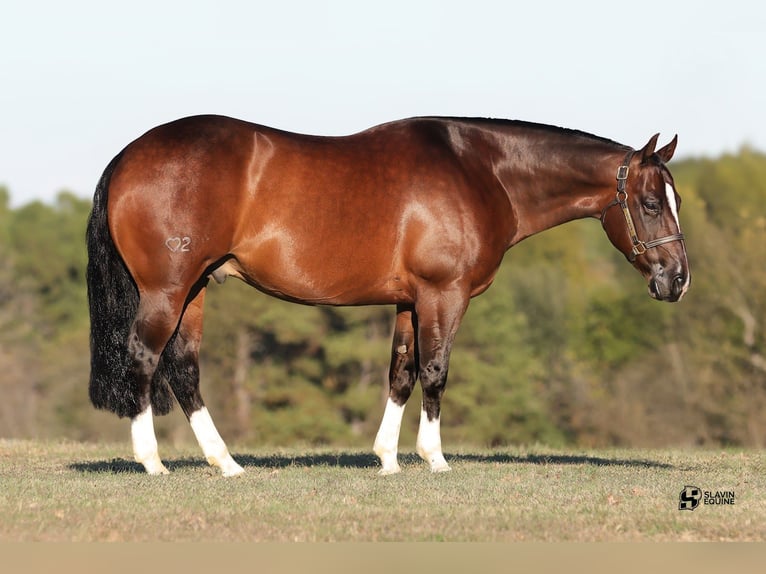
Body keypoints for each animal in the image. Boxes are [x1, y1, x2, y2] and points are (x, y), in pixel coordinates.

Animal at [86, 115, 689, 476]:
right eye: (651, 204)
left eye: (675, 200)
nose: (678, 278)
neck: (482, 171)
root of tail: (127, 156)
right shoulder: (444, 295)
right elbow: (436, 371)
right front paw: (434, 458)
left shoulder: (408, 301)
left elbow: (401, 372)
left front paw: (388, 459)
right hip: (167, 290)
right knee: (144, 359)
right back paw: (153, 463)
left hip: (194, 290)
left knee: (184, 368)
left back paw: (226, 463)